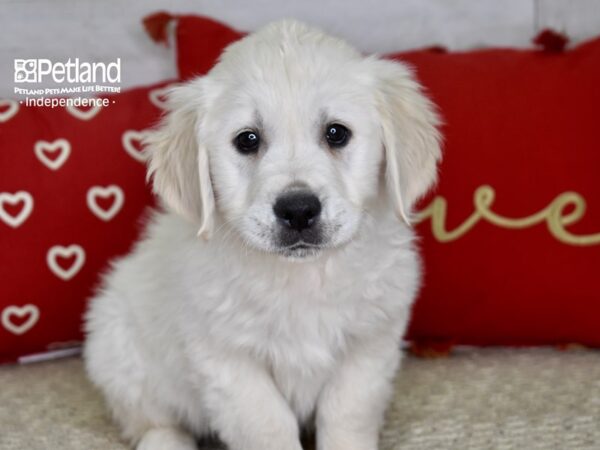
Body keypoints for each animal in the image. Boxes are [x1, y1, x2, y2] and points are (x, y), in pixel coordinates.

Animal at [83, 20, 440, 450]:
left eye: (337, 133)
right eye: (247, 139)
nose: (298, 210)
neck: (303, 277)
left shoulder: (370, 343)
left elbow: (346, 415)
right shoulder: (227, 358)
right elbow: (268, 425)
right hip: (121, 353)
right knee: (154, 424)